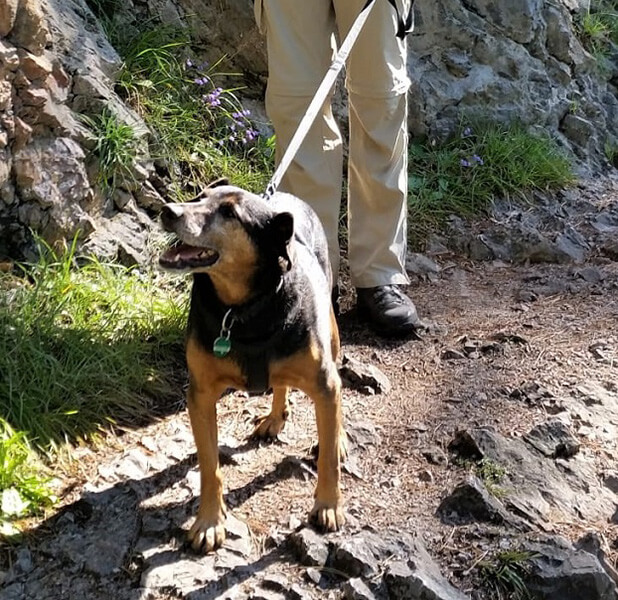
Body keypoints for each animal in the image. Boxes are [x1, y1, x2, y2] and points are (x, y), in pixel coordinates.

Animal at [159, 179, 345, 553]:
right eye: (198, 197)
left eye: (230, 213)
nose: (167, 211)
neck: (243, 310)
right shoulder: (200, 395)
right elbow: (209, 466)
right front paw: (209, 522)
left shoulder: (324, 384)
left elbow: (328, 459)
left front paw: (328, 505)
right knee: (281, 384)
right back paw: (274, 418)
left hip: (332, 335)